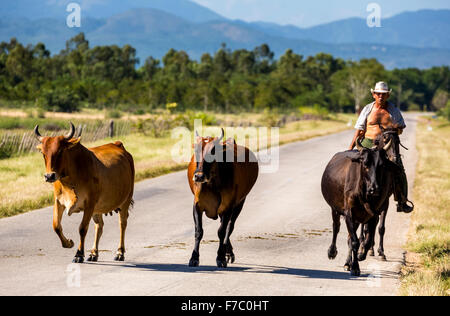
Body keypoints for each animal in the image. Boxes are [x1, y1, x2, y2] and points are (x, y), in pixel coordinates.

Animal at [35, 122, 134, 262]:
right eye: (43, 153)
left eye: (60, 151)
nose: (49, 176)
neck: (69, 180)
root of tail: (118, 145)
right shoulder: (58, 201)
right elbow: (56, 226)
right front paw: (69, 243)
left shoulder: (89, 204)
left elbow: (82, 228)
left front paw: (79, 254)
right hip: (98, 209)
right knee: (99, 226)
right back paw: (93, 253)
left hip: (126, 200)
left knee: (122, 224)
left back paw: (120, 252)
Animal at [186, 128, 258, 266]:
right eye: (196, 150)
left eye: (213, 151)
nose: (198, 176)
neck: (212, 184)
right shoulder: (197, 205)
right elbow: (199, 231)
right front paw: (194, 258)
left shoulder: (228, 207)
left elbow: (222, 231)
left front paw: (220, 257)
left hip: (240, 203)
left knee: (229, 227)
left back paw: (228, 253)